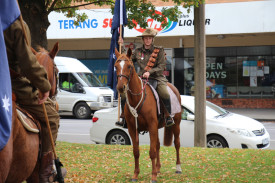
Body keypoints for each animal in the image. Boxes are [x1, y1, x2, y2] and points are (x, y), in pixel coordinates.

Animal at [115, 48, 183, 182]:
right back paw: (158, 167)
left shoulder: (151, 125)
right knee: (158, 145)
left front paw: (153, 176)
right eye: (116, 66)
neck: (137, 97)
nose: (121, 87)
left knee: (177, 143)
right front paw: (136, 174)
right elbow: (136, 151)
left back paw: (178, 167)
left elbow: (152, 152)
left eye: (129, 66)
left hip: (176, 124)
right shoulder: (133, 128)